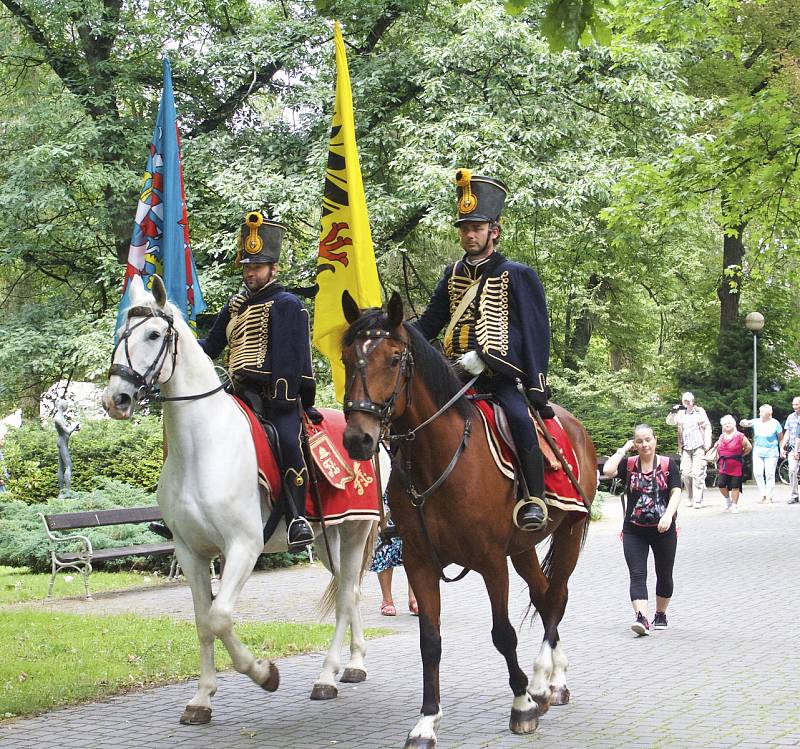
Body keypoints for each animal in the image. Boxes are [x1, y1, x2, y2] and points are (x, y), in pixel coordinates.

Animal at [103, 276, 378, 724]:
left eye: (154, 334)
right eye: (121, 335)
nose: (116, 400)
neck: (199, 446)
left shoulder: (243, 546)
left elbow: (219, 617)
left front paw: (264, 673)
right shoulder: (191, 552)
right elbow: (203, 622)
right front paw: (201, 699)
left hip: (356, 530)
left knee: (346, 596)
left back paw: (327, 676)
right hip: (326, 539)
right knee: (348, 591)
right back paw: (352, 665)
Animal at [338, 292, 592, 748]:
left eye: (394, 358)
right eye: (347, 356)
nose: (357, 439)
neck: (438, 459)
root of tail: (573, 424)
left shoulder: (490, 561)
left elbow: (503, 633)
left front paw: (522, 704)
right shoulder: (420, 561)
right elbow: (430, 641)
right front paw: (426, 721)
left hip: (568, 533)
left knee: (556, 598)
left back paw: (542, 682)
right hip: (522, 549)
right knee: (544, 595)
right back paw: (552, 681)